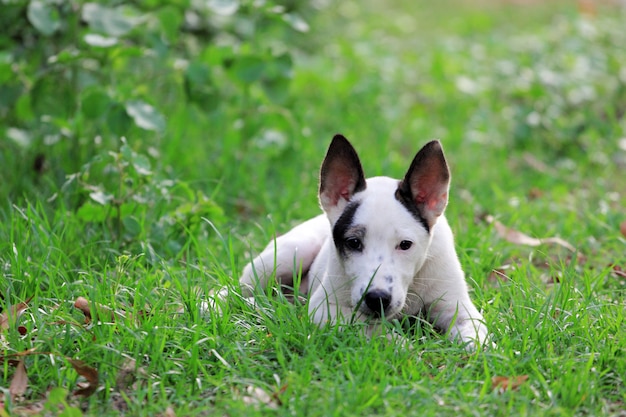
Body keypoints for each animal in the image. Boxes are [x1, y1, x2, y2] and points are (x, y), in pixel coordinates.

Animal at [239, 134, 488, 348]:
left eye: (405, 245)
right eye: (353, 243)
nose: (377, 299)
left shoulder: (458, 308)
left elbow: (475, 334)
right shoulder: (324, 307)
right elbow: (367, 325)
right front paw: (403, 346)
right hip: (289, 254)